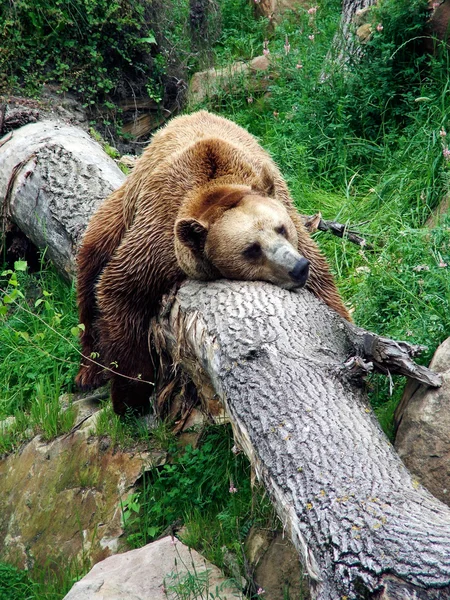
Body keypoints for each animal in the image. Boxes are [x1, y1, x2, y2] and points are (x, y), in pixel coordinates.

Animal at [76, 110, 352, 414]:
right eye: (252, 249)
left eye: (281, 228)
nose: (297, 268)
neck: (216, 189)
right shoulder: (159, 236)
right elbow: (121, 289)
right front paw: (130, 396)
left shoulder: (290, 217)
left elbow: (324, 286)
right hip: (122, 210)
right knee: (90, 266)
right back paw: (88, 371)